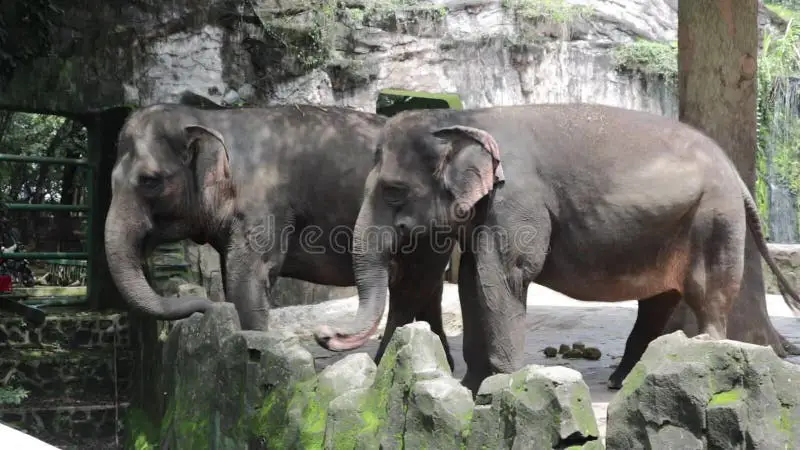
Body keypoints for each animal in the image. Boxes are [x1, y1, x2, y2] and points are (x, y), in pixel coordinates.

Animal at [104, 103, 456, 370]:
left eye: (150, 181)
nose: (206, 306)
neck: (209, 118)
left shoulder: (264, 206)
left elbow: (246, 281)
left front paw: (254, 351)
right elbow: (234, 276)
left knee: (409, 291)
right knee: (427, 290)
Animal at [310, 102, 800, 394]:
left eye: (394, 191)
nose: (324, 334)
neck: (469, 116)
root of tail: (737, 176)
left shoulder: (515, 200)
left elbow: (502, 277)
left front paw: (502, 386)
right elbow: (471, 279)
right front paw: (472, 386)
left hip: (713, 217)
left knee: (704, 291)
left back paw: (702, 349)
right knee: (658, 300)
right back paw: (623, 380)